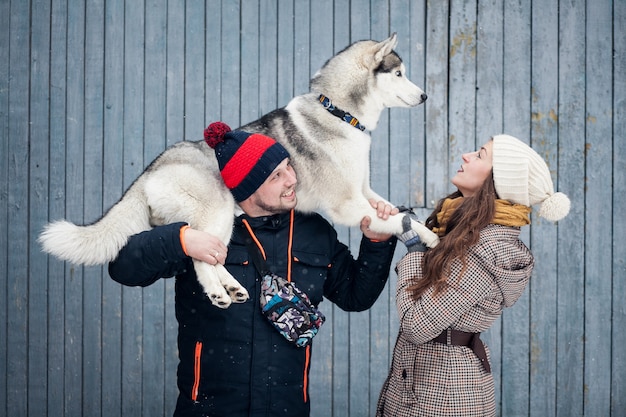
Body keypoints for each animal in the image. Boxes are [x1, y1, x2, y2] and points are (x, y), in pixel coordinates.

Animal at [40, 32, 438, 308]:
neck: (338, 112)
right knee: (198, 255)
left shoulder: (364, 192)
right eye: (399, 73)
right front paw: (428, 237)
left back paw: (230, 287)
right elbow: (398, 219)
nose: (425, 97)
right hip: (215, 209)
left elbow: (388, 210)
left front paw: (405, 222)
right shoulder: (346, 204)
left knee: (209, 253)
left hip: (223, 221)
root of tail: (149, 171)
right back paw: (218, 292)